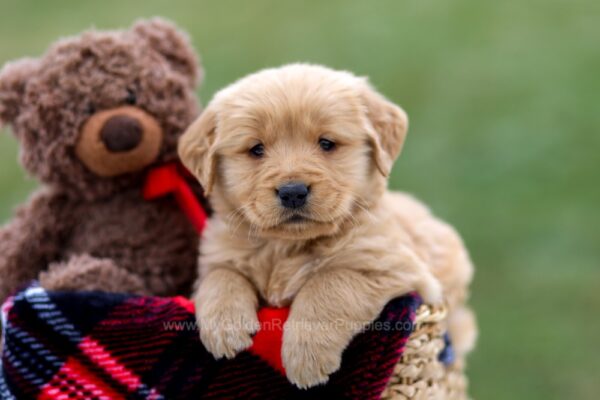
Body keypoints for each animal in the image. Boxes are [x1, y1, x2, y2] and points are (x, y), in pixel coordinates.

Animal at [176, 65, 476, 388]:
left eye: (327, 143)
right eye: (256, 149)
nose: (292, 191)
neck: (285, 246)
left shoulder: (396, 268)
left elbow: (329, 283)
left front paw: (306, 356)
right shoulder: (215, 256)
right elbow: (220, 276)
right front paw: (225, 327)